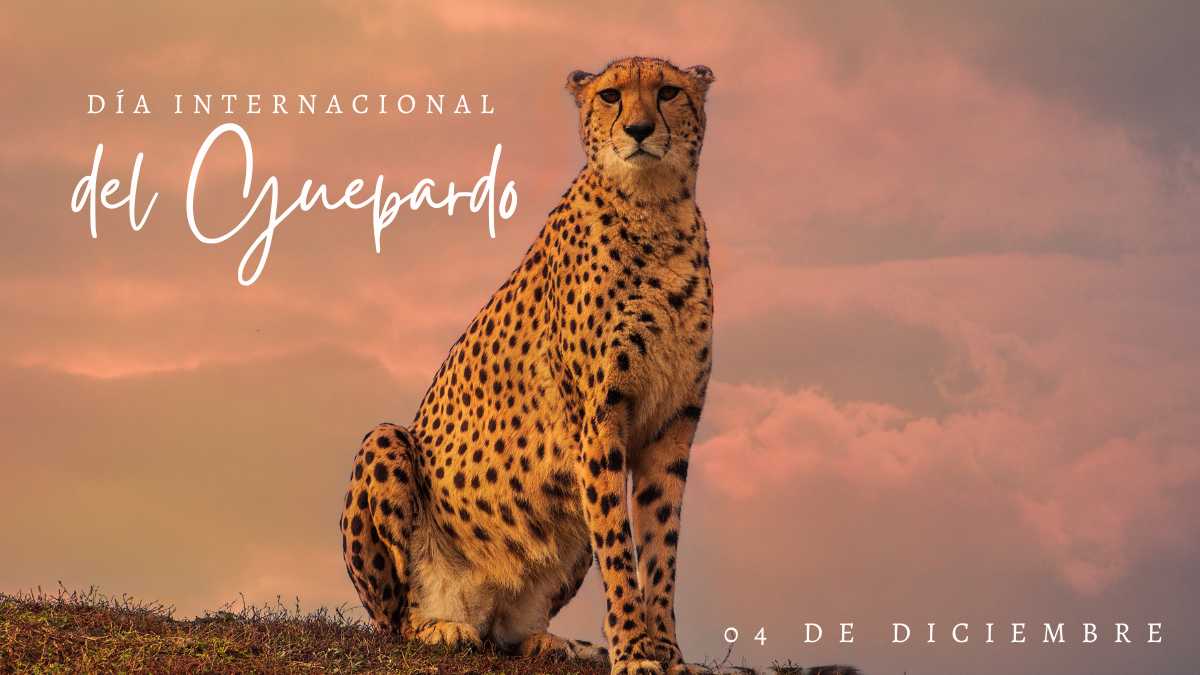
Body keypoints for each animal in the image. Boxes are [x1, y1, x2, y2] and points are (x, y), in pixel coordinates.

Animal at [340, 56, 716, 675]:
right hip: (385, 441)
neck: (654, 209)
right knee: (394, 619)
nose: (638, 130)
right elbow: (620, 548)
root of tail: (484, 609)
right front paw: (634, 652)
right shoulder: (599, 423)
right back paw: (438, 627)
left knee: (512, 631)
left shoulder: (672, 425)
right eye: (610, 95)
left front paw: (667, 653)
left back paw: (546, 640)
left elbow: (660, 549)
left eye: (668, 92)